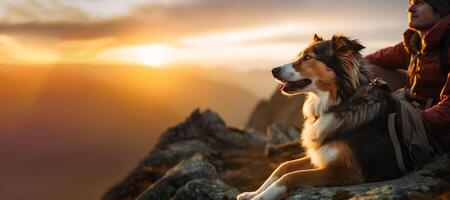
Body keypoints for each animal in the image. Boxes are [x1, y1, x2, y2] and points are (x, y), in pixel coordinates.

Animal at [237, 34, 406, 200]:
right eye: (300, 55)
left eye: (307, 57)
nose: (273, 70)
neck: (341, 104)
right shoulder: (320, 155)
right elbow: (283, 166)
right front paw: (252, 193)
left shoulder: (346, 170)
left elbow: (291, 176)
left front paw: (260, 197)